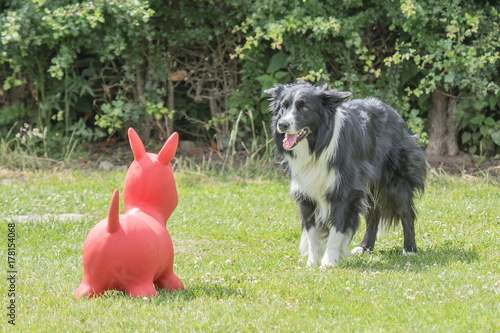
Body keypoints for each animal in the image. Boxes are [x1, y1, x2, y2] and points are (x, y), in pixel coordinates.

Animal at [266, 83, 426, 268]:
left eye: (304, 108)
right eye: (283, 107)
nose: (282, 124)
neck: (317, 147)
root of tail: (396, 114)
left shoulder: (346, 190)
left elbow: (337, 229)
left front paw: (328, 263)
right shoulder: (306, 192)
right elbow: (312, 231)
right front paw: (312, 263)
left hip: (395, 178)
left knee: (405, 212)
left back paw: (409, 249)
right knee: (373, 213)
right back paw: (365, 247)